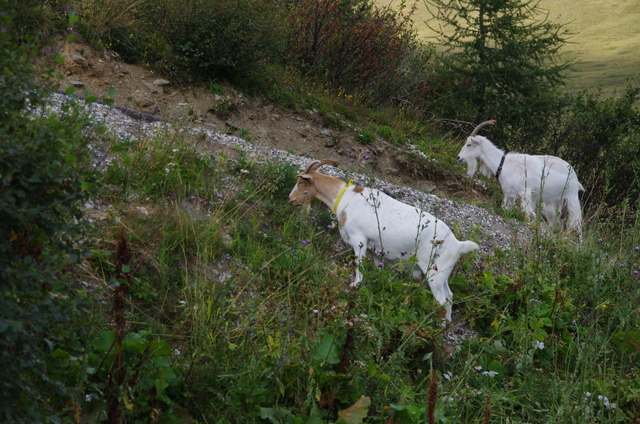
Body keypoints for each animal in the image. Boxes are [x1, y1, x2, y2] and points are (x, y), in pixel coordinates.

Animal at [288, 159, 478, 322]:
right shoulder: (375, 249)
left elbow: (358, 266)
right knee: (450, 297)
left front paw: (355, 285)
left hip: (434, 273)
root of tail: (457, 244)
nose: (291, 199)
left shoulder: (359, 240)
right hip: (443, 274)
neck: (346, 199)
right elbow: (377, 270)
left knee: (442, 300)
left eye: (300, 183)